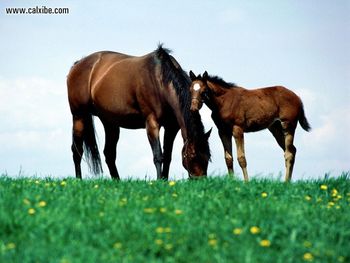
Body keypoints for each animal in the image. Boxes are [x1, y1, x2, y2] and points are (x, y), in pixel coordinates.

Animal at [67, 46, 212, 182]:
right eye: (193, 155)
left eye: (208, 156)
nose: (200, 181)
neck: (160, 80)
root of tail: (77, 64)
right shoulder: (152, 123)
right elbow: (158, 155)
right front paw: (159, 181)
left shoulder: (171, 127)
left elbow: (167, 156)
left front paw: (164, 180)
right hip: (79, 116)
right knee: (77, 150)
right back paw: (78, 180)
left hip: (110, 123)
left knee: (109, 154)